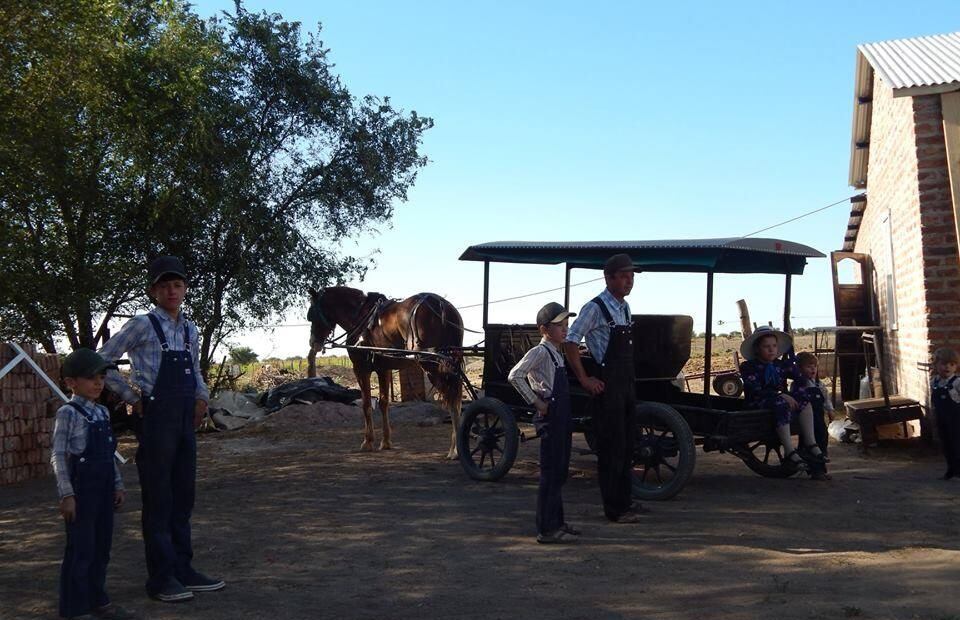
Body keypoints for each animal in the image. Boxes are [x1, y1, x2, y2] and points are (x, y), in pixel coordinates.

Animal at [308, 286, 464, 456]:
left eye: (311, 315)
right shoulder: (383, 369)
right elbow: (383, 403)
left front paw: (368, 442)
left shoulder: (361, 369)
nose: (313, 343)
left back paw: (455, 449)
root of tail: (441, 304)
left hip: (431, 363)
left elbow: (366, 404)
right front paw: (386, 442)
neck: (360, 318)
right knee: (455, 398)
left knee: (451, 399)